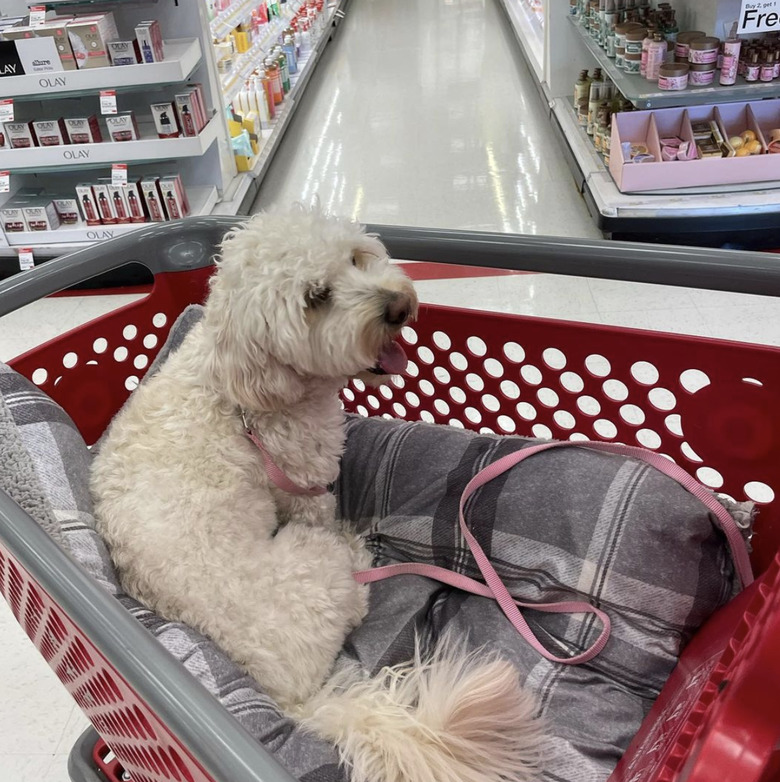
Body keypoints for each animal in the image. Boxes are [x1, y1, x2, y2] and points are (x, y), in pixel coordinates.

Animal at [91, 208, 544, 782]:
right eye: (316, 298)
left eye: (356, 258)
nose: (398, 307)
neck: (240, 388)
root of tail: (291, 700)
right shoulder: (304, 478)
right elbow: (319, 506)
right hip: (313, 564)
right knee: (349, 582)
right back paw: (357, 554)